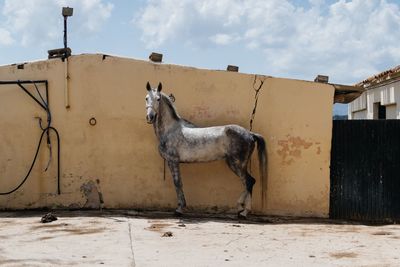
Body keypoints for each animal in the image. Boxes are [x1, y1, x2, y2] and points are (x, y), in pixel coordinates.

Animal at [145, 82, 268, 220]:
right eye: (146, 98)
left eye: (158, 99)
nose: (150, 117)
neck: (170, 130)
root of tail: (250, 134)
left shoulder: (173, 161)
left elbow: (178, 183)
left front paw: (179, 209)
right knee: (247, 183)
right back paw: (240, 208)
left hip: (236, 164)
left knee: (249, 182)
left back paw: (244, 212)